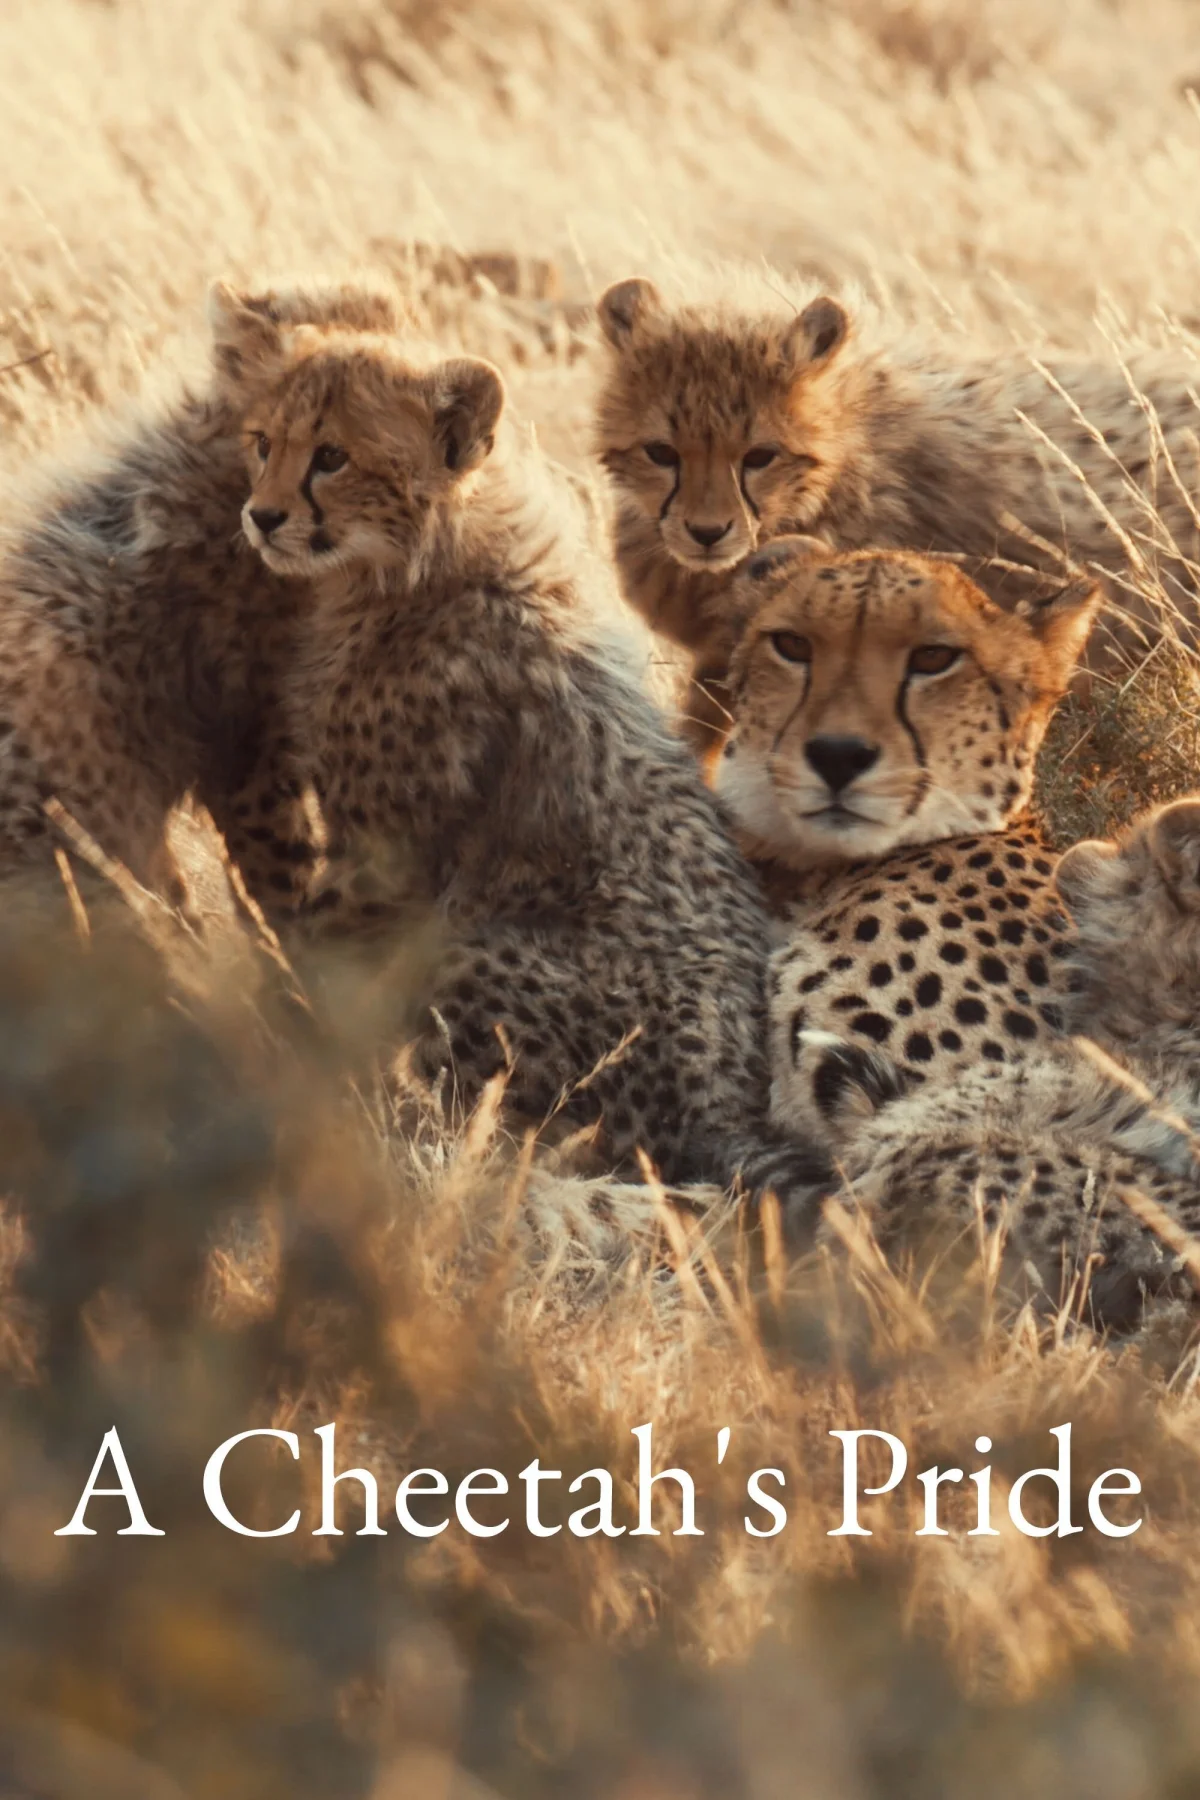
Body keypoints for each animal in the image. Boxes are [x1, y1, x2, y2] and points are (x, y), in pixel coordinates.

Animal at [210, 279, 828, 1212]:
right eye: (262, 443)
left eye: (332, 457)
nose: (262, 516)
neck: (416, 564)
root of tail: (723, 1103)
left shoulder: (382, 854)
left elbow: (316, 955)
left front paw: (274, 1047)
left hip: (463, 948)